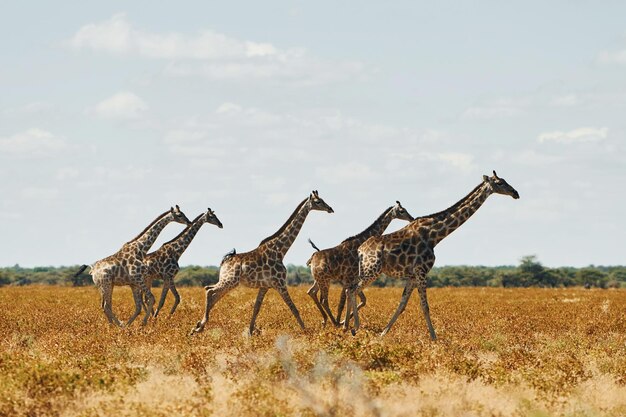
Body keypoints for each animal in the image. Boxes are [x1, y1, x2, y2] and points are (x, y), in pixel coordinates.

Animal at [190, 191, 334, 334]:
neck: (280, 250)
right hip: (229, 281)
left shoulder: (265, 286)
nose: (330, 209)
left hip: (229, 281)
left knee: (212, 293)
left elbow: (256, 308)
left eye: (322, 199)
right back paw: (199, 326)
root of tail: (224, 261)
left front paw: (250, 332)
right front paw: (306, 332)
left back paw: (198, 326)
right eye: (318, 202)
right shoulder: (280, 283)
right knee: (210, 291)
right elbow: (293, 308)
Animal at [346, 171, 516, 338]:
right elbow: (425, 306)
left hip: (366, 271)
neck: (434, 236)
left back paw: (348, 326)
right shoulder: (422, 271)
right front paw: (434, 338)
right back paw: (354, 327)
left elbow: (402, 304)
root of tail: (360, 250)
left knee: (350, 290)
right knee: (353, 290)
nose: (516, 193)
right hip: (372, 271)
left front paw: (382, 334)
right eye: (500, 182)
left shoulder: (412, 275)